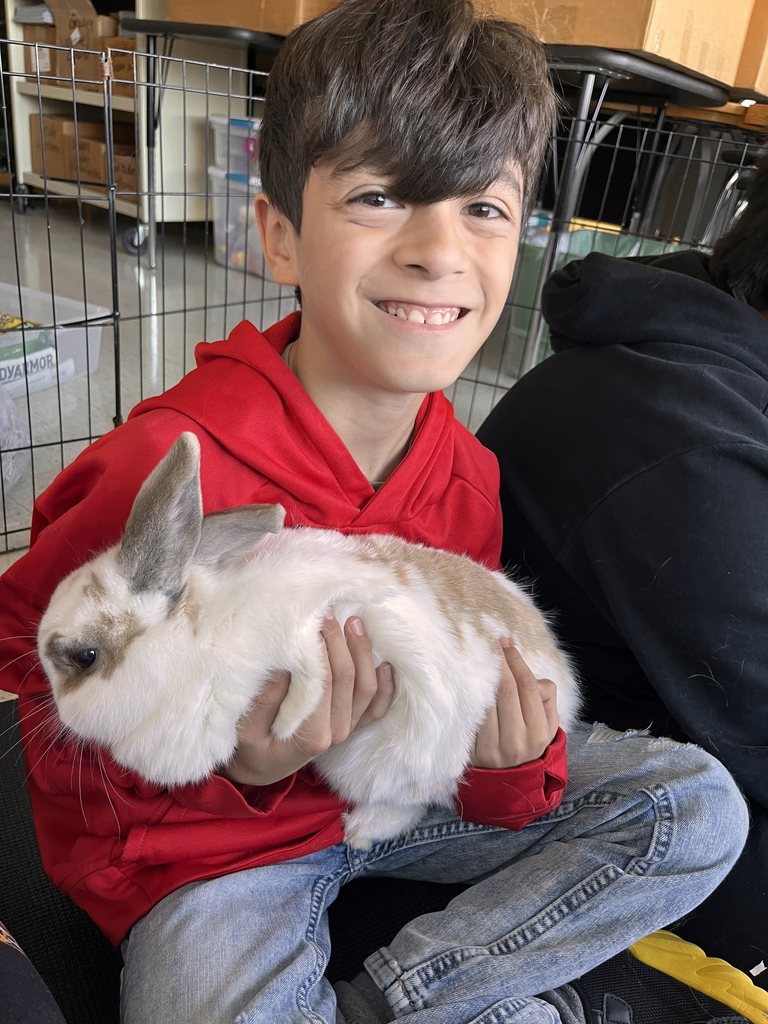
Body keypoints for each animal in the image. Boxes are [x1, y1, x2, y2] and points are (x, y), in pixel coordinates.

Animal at [38, 431, 580, 850]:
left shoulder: (313, 621)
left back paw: (361, 830)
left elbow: (312, 669)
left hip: (416, 750)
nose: (60, 716)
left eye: (85, 657)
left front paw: (289, 723)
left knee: (417, 799)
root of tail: (562, 679)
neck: (198, 642)